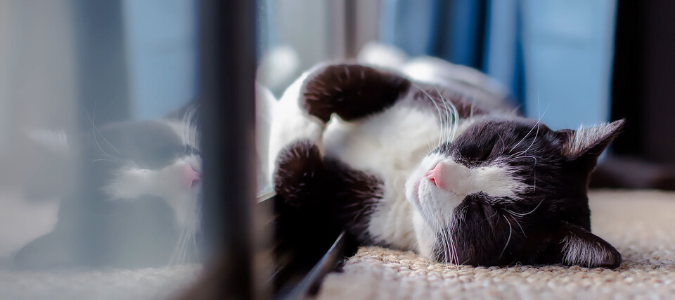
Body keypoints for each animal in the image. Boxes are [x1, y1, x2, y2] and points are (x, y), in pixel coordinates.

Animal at [268, 62, 624, 268]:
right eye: (489, 150)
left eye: (488, 214)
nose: (435, 174)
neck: (406, 167)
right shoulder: (423, 92)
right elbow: (329, 78)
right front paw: (289, 103)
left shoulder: (353, 216)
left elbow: (299, 181)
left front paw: (286, 125)